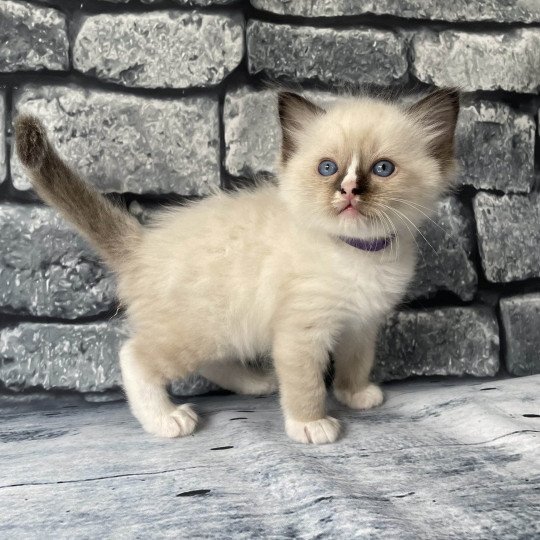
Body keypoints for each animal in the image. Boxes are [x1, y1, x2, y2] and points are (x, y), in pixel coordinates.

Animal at [14, 87, 458, 442]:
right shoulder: (300, 332)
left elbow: (356, 362)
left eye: (382, 168)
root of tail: (142, 244)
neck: (359, 253)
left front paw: (355, 394)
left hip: (222, 327)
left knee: (212, 362)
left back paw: (256, 383)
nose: (348, 190)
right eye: (327, 168)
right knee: (133, 356)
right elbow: (305, 384)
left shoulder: (362, 324)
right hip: (197, 329)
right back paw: (166, 420)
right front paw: (310, 424)